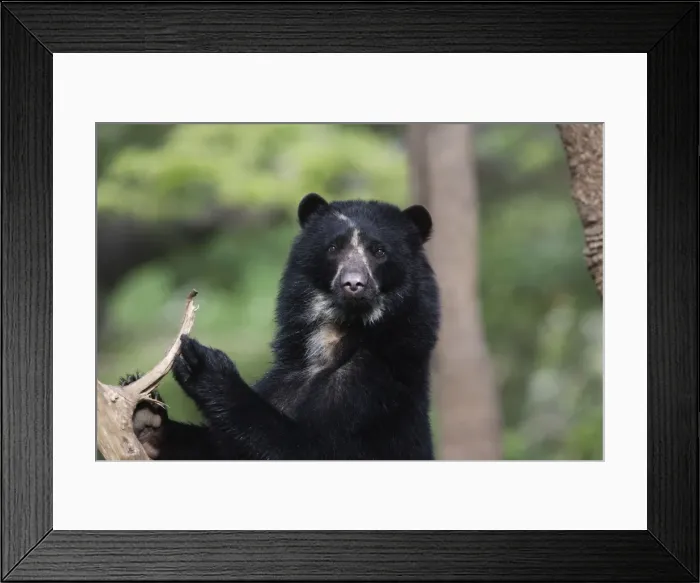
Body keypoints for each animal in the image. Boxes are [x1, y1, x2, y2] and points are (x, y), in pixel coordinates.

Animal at [122, 192, 441, 460]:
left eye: (379, 251)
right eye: (333, 247)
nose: (353, 284)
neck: (338, 336)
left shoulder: (377, 394)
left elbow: (310, 448)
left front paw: (200, 362)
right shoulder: (285, 378)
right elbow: (222, 449)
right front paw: (147, 420)